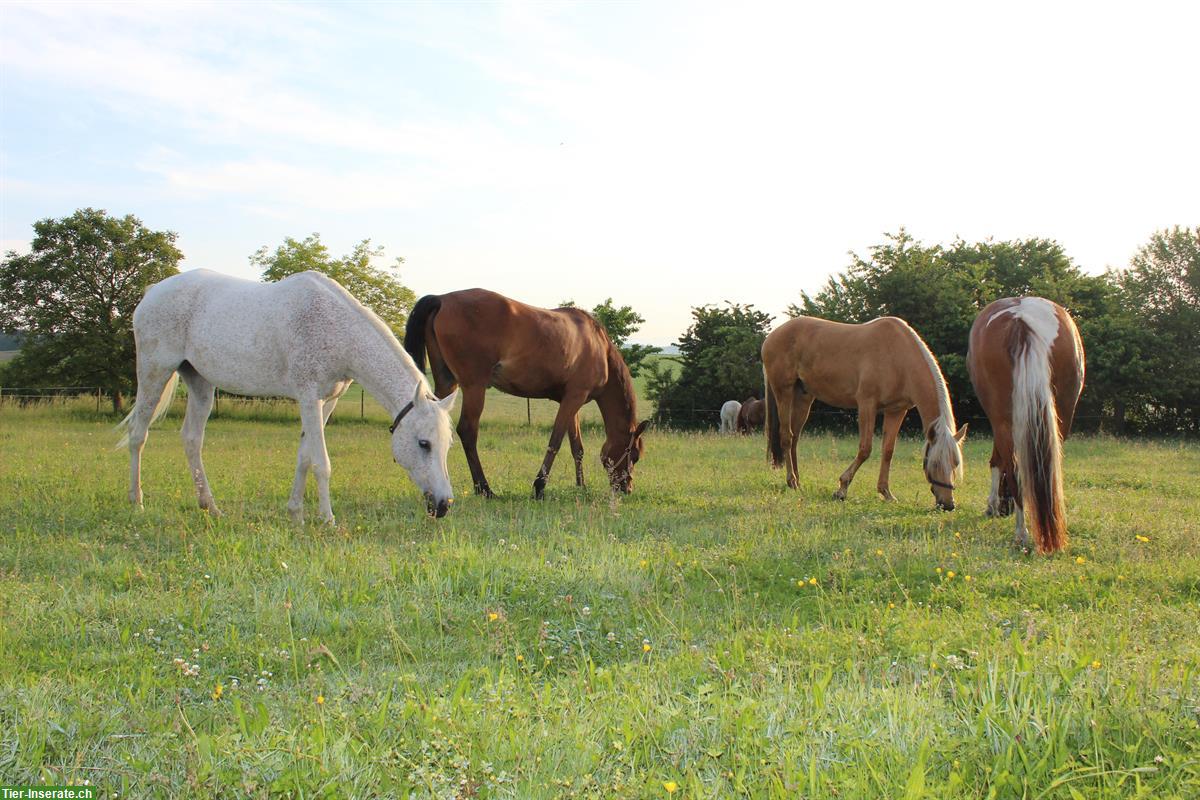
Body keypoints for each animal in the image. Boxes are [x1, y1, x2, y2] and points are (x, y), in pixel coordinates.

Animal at [118, 268, 458, 525]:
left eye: (447, 445)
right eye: (423, 443)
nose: (445, 504)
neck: (336, 328)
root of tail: (152, 292)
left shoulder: (327, 401)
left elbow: (304, 457)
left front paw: (296, 514)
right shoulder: (309, 398)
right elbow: (321, 462)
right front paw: (327, 519)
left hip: (200, 382)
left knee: (191, 439)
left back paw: (211, 508)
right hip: (154, 372)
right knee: (138, 435)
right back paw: (136, 502)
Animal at [403, 287, 648, 501]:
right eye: (634, 456)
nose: (627, 489)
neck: (598, 345)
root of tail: (441, 299)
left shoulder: (571, 400)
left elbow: (576, 447)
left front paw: (581, 486)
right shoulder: (573, 399)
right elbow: (555, 442)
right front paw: (539, 487)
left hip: (447, 385)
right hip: (474, 387)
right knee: (468, 431)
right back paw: (485, 489)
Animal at [768, 316, 964, 510]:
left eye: (956, 463)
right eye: (935, 463)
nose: (948, 504)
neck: (899, 357)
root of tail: (772, 335)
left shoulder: (896, 411)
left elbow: (888, 451)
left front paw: (886, 493)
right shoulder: (866, 405)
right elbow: (865, 449)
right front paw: (841, 489)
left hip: (803, 397)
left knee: (795, 438)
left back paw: (797, 483)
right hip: (784, 392)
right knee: (786, 436)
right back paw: (792, 481)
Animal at [969, 297, 1084, 554]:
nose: (1004, 510)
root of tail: (1021, 321)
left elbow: (997, 461)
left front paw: (992, 504)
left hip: (1003, 420)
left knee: (1015, 470)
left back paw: (1022, 533)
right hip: (1060, 418)